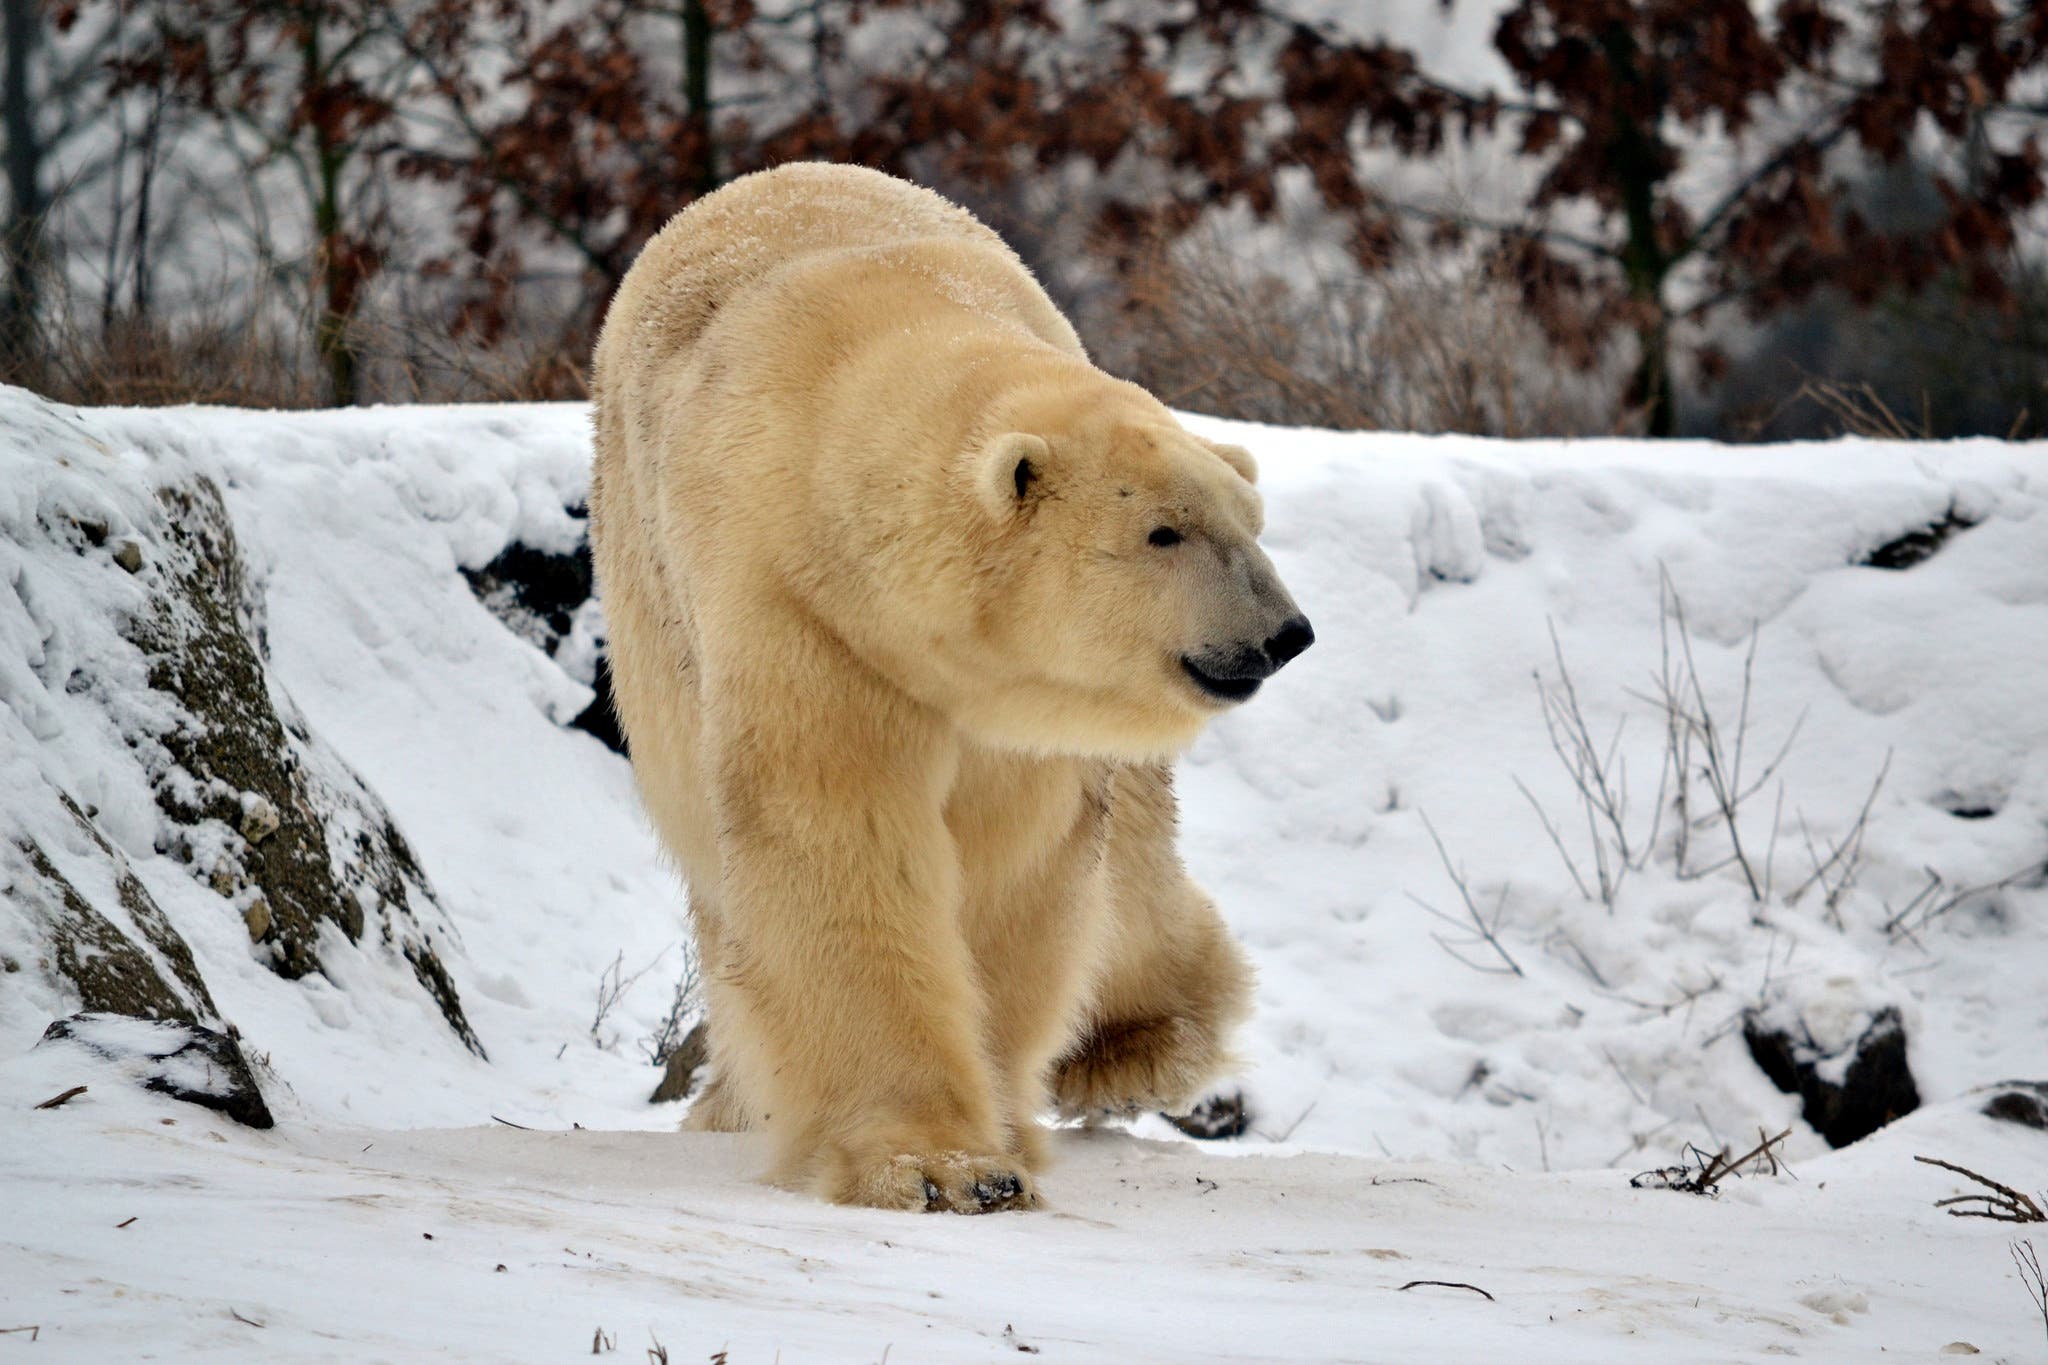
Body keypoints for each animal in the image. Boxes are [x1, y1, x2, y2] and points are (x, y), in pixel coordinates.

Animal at [588, 163, 1312, 1213]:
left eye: (1251, 521)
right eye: (1163, 532)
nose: (1284, 633)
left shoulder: (1014, 696)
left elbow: (1017, 861)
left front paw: (997, 1127)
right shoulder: (799, 609)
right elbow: (834, 837)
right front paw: (939, 1164)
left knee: (1132, 868)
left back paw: (1130, 1048)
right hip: (650, 636)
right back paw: (735, 1099)